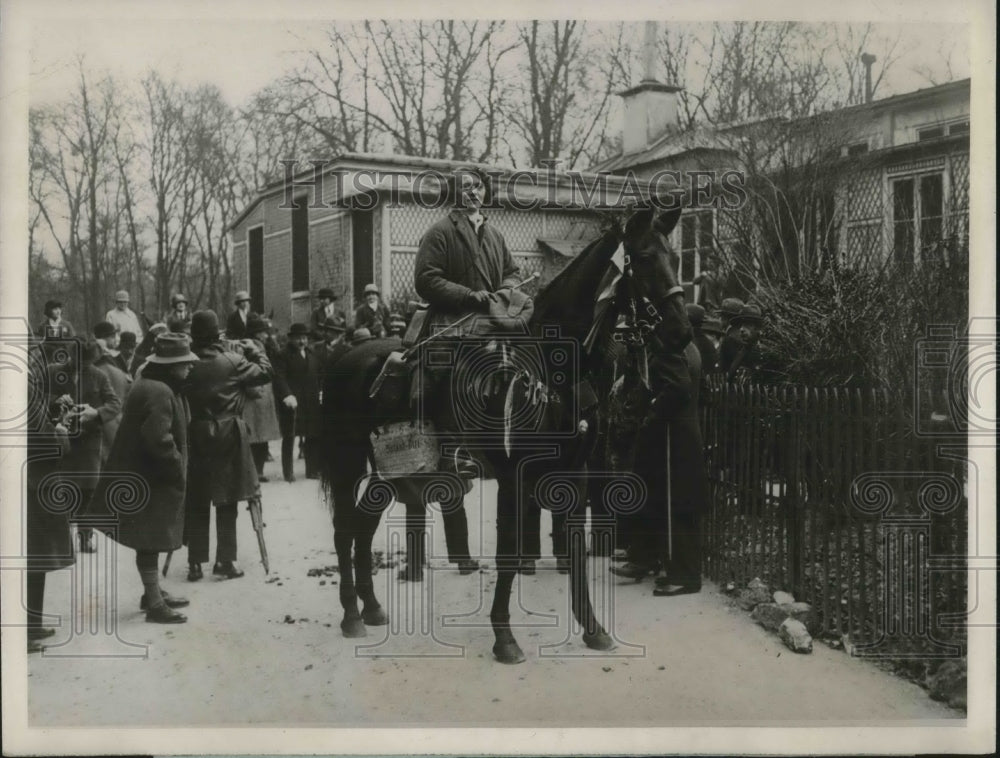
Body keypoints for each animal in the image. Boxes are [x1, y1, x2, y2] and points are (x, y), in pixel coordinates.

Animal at [318, 205, 688, 664]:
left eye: (676, 258)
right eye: (644, 258)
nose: (681, 331)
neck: (551, 363)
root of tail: (345, 355)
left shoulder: (576, 471)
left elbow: (575, 549)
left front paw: (593, 629)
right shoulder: (515, 475)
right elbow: (509, 553)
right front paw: (504, 637)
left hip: (392, 468)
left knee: (364, 525)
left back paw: (370, 608)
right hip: (348, 461)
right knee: (344, 530)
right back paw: (351, 614)